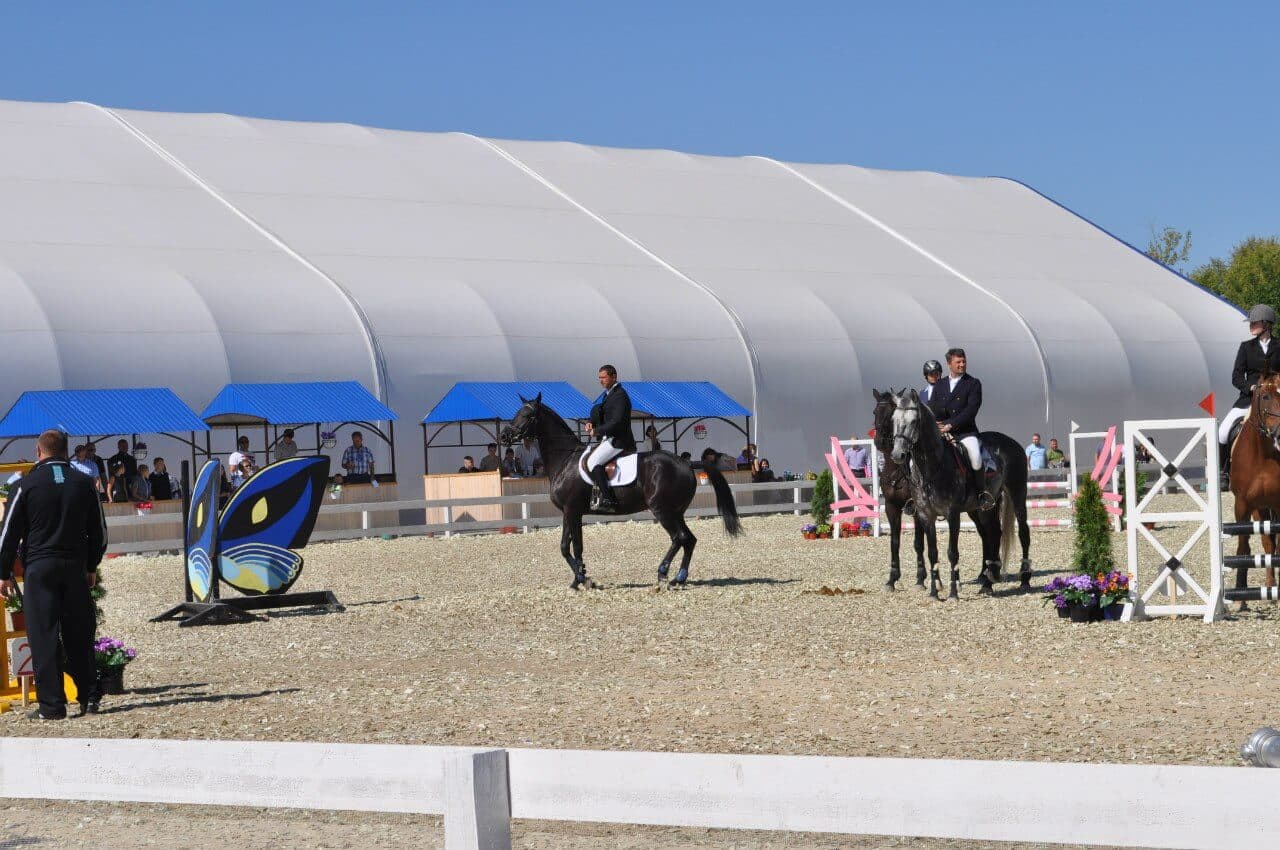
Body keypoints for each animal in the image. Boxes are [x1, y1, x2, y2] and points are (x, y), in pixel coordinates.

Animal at [875, 389, 926, 588]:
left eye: (890, 414)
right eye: (875, 412)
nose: (879, 442)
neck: (897, 470)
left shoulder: (918, 509)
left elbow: (918, 542)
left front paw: (921, 578)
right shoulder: (891, 507)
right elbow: (894, 542)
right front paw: (892, 578)